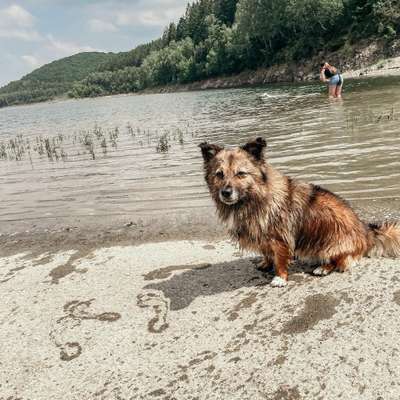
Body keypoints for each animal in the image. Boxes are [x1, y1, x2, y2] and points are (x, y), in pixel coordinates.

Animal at [200, 138, 400, 288]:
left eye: (241, 173)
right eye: (219, 174)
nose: (226, 192)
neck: (253, 198)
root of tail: (366, 232)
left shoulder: (280, 238)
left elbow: (280, 259)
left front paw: (280, 278)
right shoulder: (264, 236)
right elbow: (267, 253)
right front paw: (265, 263)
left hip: (331, 242)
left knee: (341, 260)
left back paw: (323, 267)